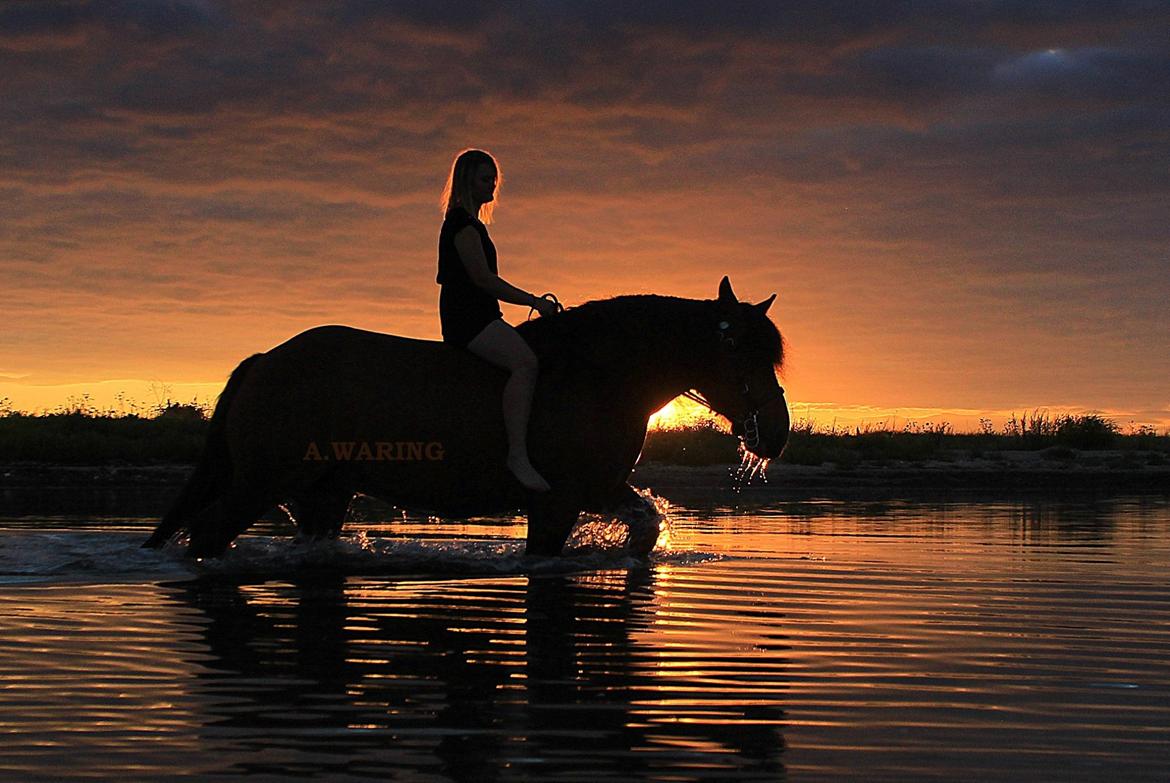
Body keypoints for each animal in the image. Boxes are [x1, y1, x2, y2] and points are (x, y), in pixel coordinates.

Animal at [141, 275, 790, 554]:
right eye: (739, 350)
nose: (777, 435)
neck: (597, 373)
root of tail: (266, 360)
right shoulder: (558, 500)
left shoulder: (599, 487)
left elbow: (646, 525)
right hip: (261, 483)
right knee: (207, 534)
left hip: (321, 493)